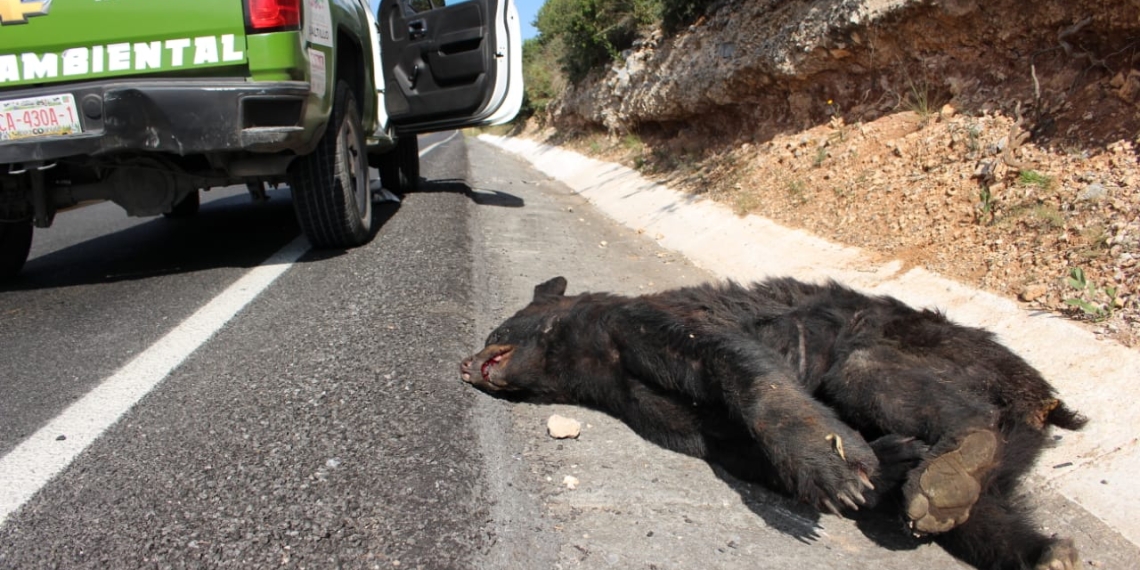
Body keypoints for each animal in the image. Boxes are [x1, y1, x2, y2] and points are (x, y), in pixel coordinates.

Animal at [460, 276, 1087, 570]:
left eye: (498, 329)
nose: (464, 363)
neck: (590, 360)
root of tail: (1045, 398)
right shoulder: (644, 403)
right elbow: (721, 441)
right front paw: (883, 463)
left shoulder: (647, 321)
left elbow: (736, 363)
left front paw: (829, 465)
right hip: (1012, 441)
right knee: (982, 510)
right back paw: (1030, 543)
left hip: (937, 355)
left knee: (876, 373)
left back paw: (954, 461)